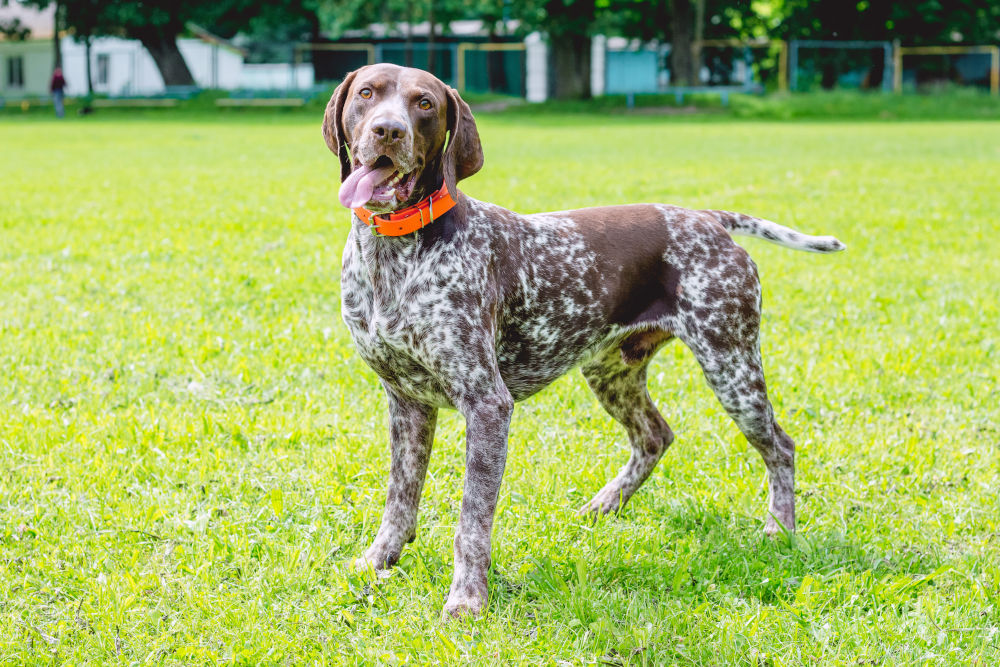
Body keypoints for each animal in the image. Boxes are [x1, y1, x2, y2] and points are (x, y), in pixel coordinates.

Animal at [322, 65, 844, 620]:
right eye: (367, 93)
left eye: (424, 104)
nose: (388, 131)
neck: (393, 255)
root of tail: (708, 218)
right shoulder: (406, 401)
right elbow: (400, 498)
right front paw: (378, 560)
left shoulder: (486, 405)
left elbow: (472, 520)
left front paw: (467, 598)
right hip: (611, 373)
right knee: (655, 435)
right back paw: (606, 503)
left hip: (732, 368)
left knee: (779, 447)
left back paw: (779, 528)